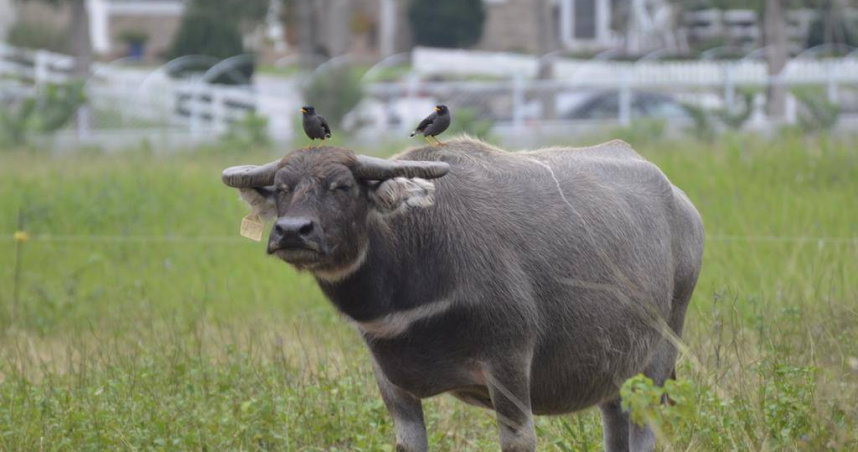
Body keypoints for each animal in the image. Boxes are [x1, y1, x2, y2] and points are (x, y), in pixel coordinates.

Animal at [221, 138, 704, 452]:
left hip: (661, 355)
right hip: (615, 375)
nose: (292, 231)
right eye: (283, 188)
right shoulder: (391, 382)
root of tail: (684, 207)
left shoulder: (509, 366)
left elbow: (518, 440)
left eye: (343, 186)